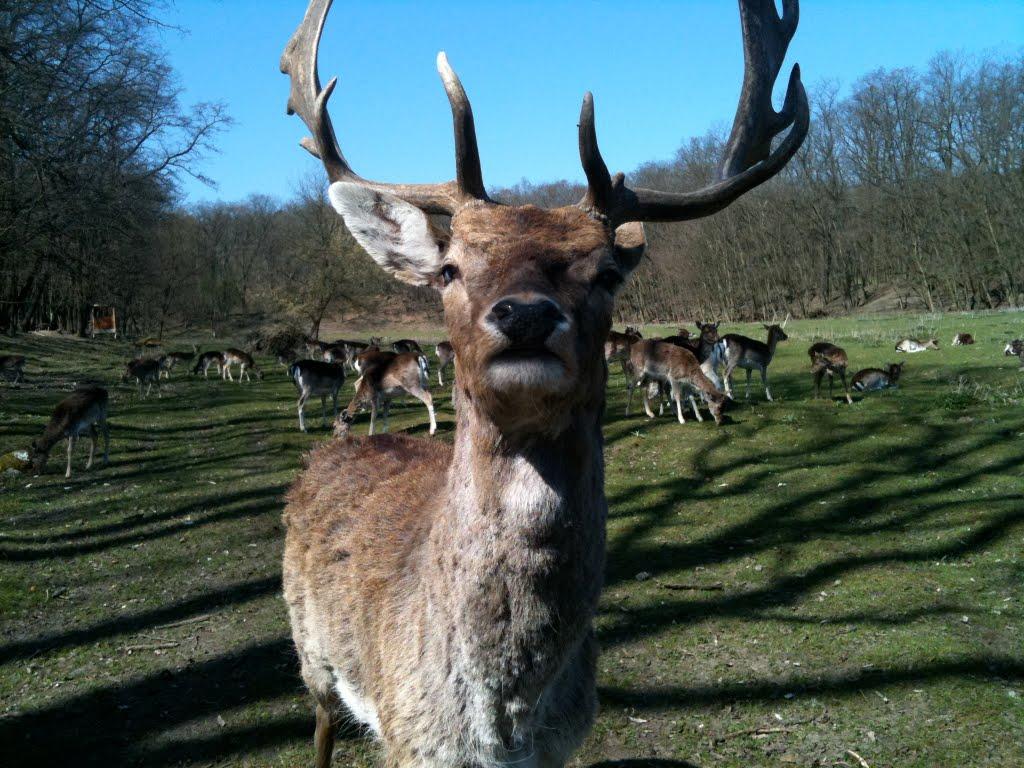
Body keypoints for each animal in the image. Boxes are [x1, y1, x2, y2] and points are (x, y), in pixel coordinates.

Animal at [278, 0, 806, 765]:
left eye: (607, 272)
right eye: (449, 268)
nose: (525, 314)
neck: (501, 726)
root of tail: (330, 450)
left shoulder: (561, 743)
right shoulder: (408, 740)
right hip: (310, 651)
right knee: (320, 722)